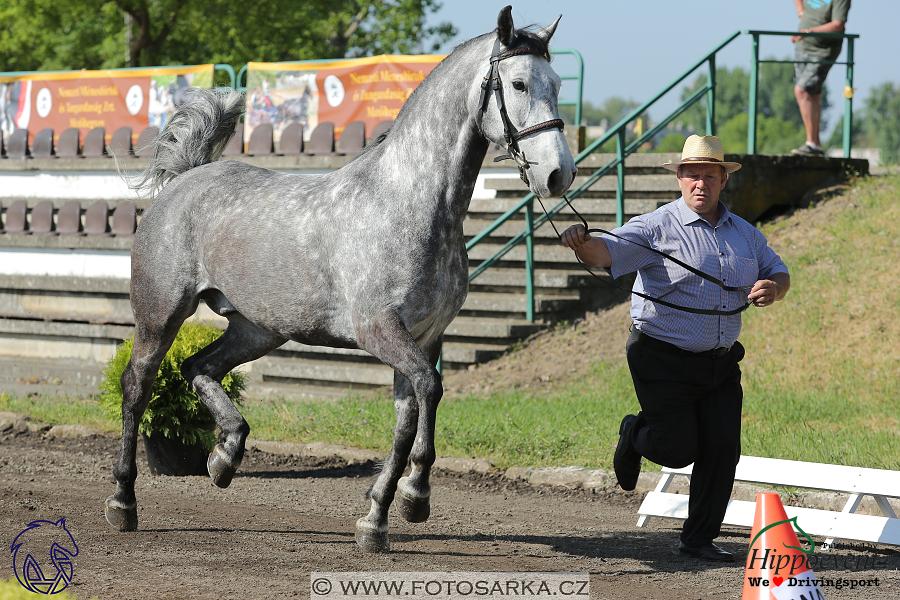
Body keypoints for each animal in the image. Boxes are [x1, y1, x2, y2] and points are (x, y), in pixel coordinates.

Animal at [103, 5, 568, 552]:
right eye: (518, 83)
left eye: (558, 84)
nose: (558, 174)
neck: (410, 204)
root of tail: (184, 180)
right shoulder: (380, 331)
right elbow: (427, 394)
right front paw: (391, 508)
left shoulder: (425, 337)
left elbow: (414, 411)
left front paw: (398, 504)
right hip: (160, 316)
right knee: (139, 386)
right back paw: (124, 502)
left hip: (259, 328)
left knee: (200, 367)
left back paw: (224, 458)